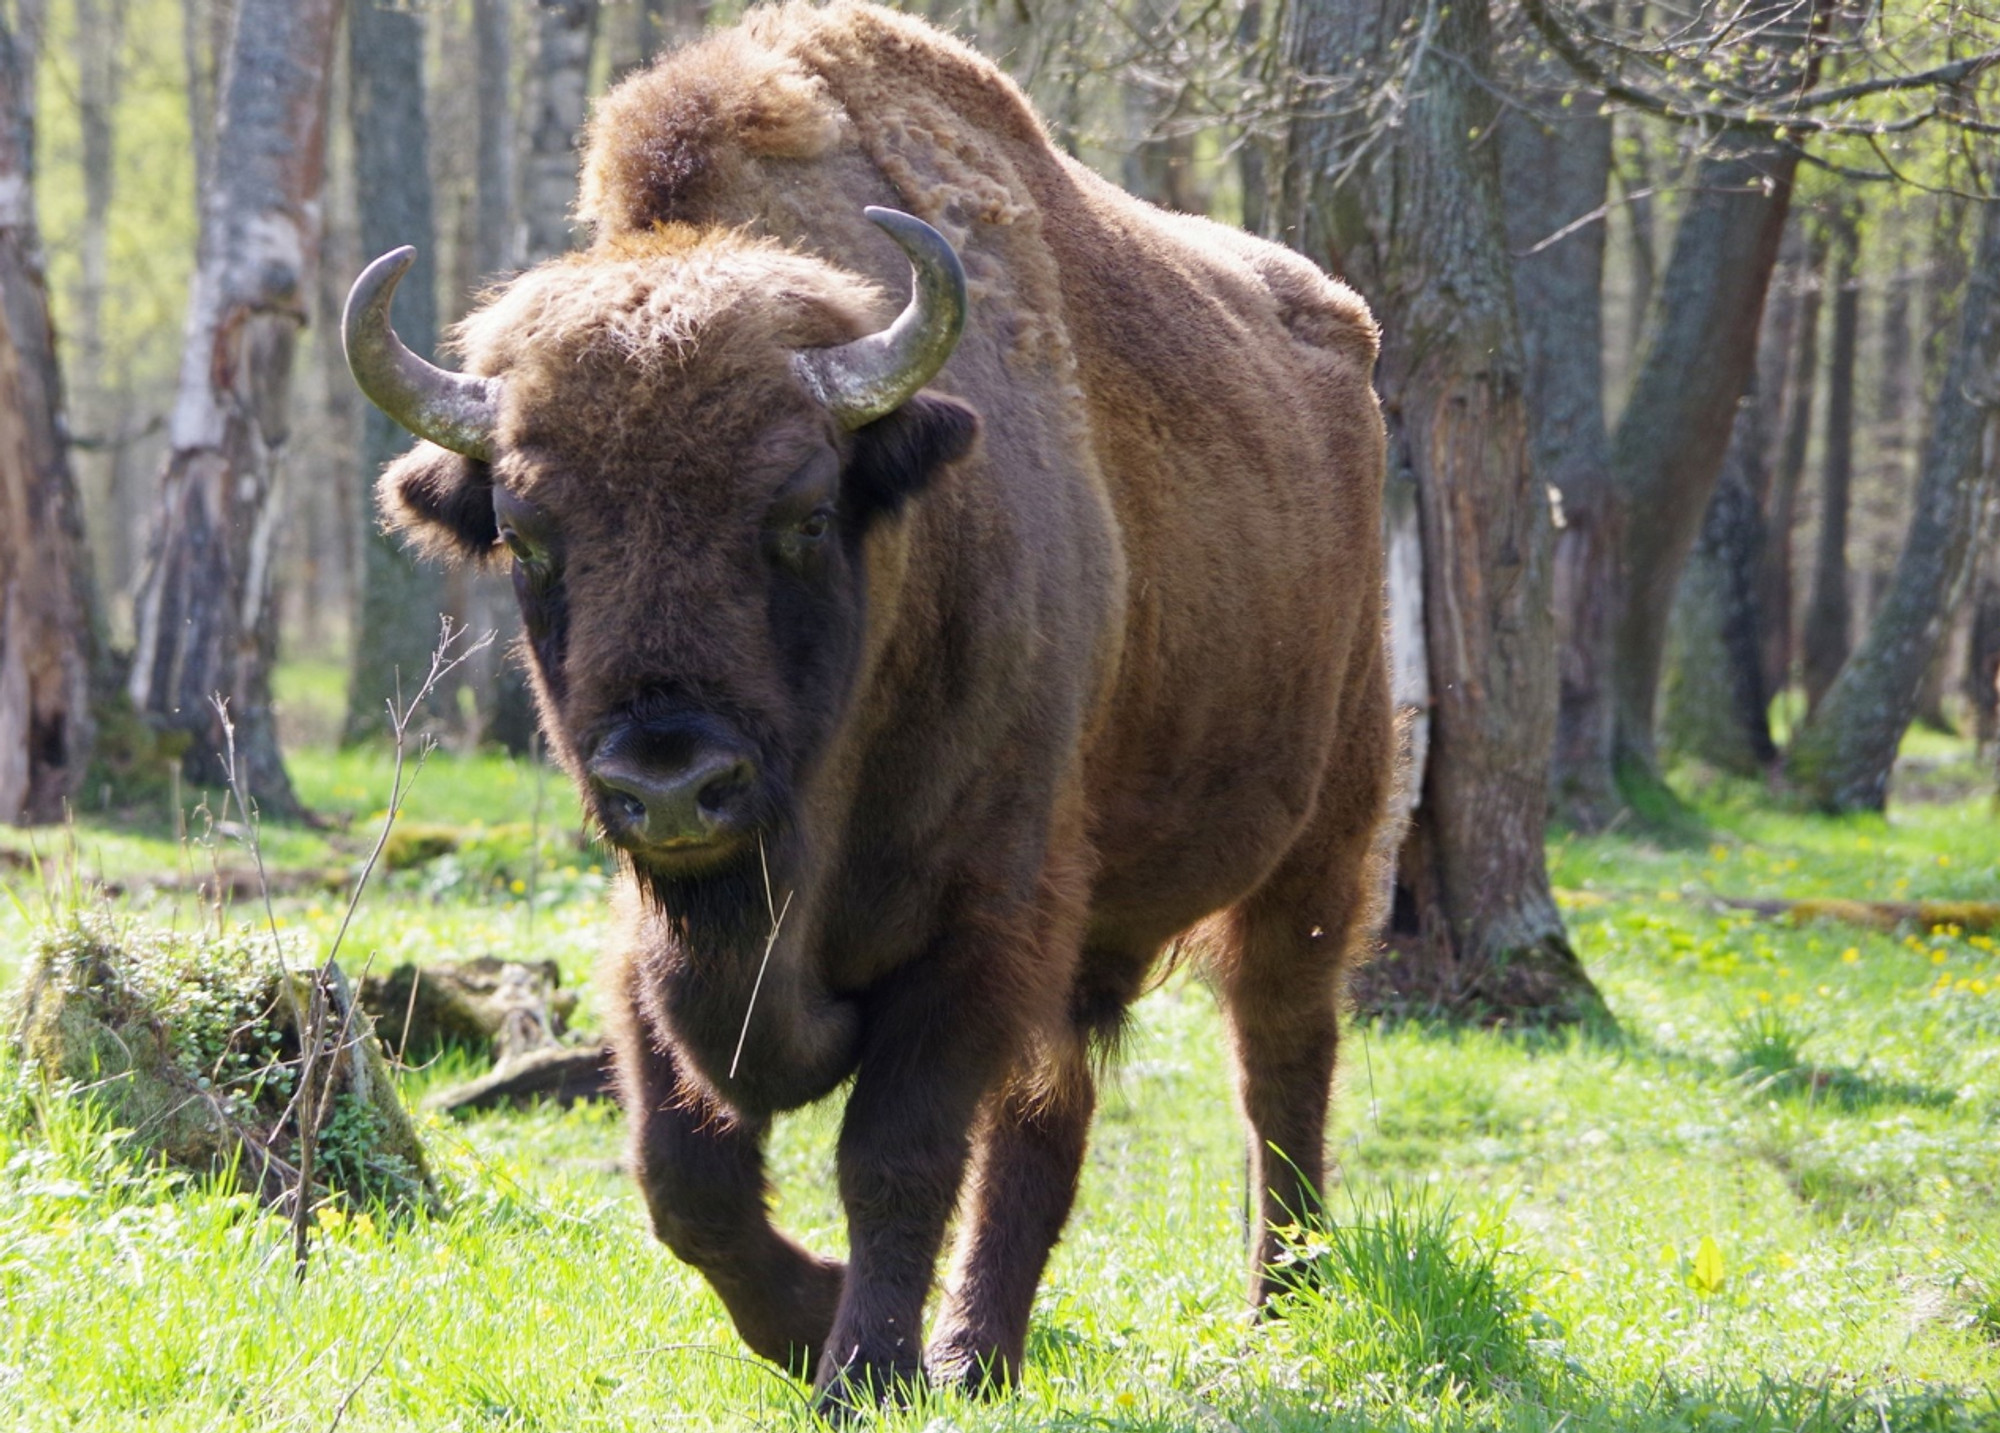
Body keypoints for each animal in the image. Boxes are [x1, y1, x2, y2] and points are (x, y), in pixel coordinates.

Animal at [344, 0, 1384, 1408]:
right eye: (527, 534)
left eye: (799, 510)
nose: (672, 782)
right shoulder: (650, 935)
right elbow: (684, 1174)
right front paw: (811, 1318)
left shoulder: (978, 917)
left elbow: (892, 1157)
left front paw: (863, 1367)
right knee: (1052, 1117)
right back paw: (982, 1350)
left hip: (1322, 832)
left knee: (1278, 1054)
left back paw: (1279, 1301)